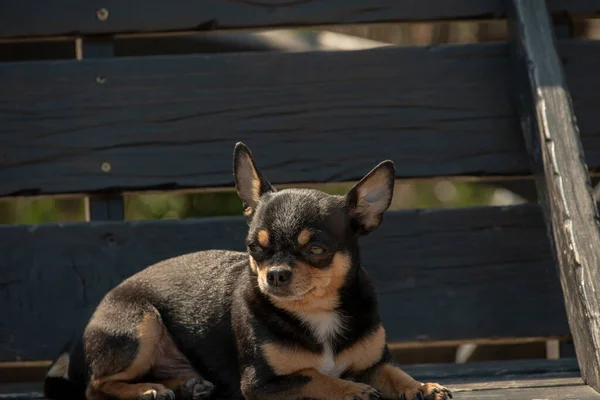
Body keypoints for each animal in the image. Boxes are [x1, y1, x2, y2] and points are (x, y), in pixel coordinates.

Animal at [44, 144, 450, 400]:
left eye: (316, 250)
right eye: (255, 248)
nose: (276, 274)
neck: (317, 313)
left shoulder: (376, 363)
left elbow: (395, 373)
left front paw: (422, 386)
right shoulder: (262, 383)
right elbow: (313, 376)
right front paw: (351, 390)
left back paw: (189, 385)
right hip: (141, 324)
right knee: (95, 387)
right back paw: (150, 390)